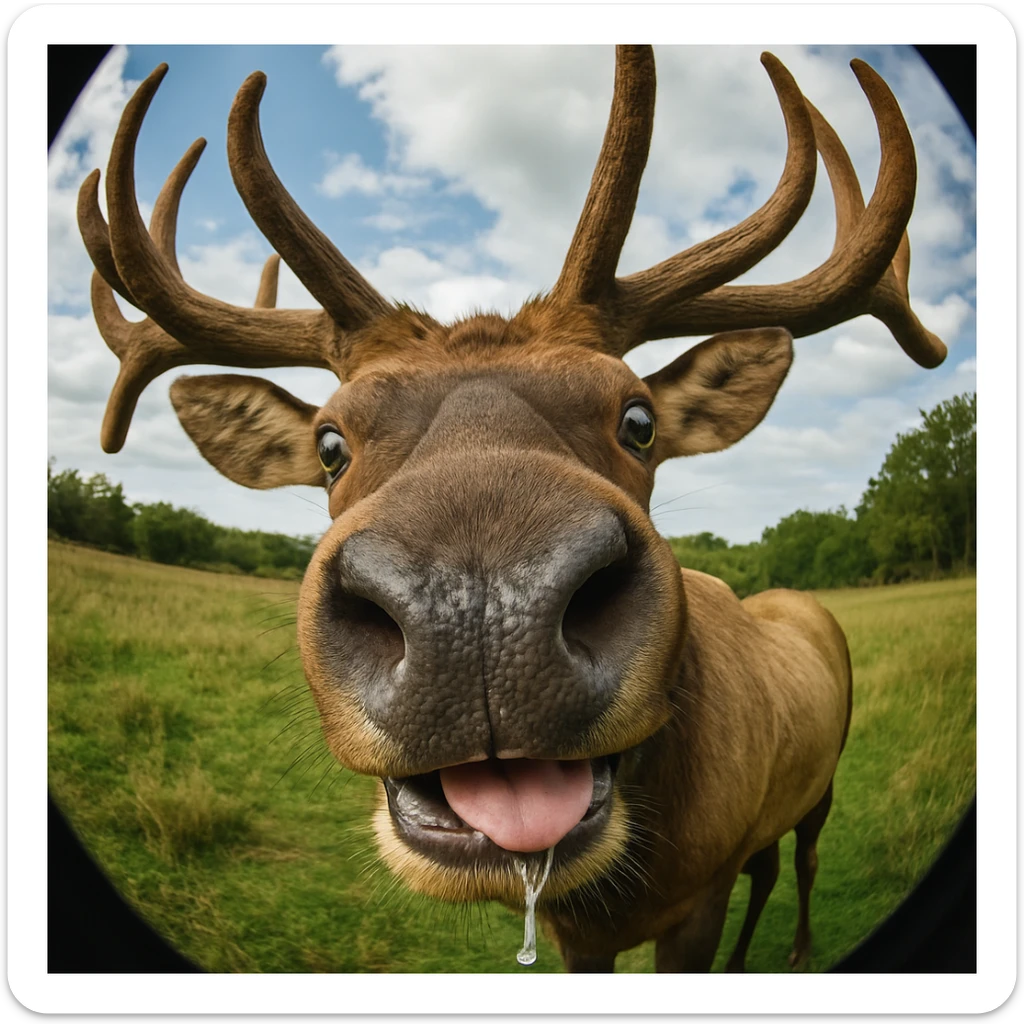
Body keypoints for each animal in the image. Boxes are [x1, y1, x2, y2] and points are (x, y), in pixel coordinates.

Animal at [78, 46, 946, 973]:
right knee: (772, 865)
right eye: (330, 442)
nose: (480, 610)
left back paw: (799, 948)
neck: (628, 883)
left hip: (827, 778)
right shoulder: (579, 936)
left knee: (803, 861)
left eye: (639, 419)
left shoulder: (698, 898)